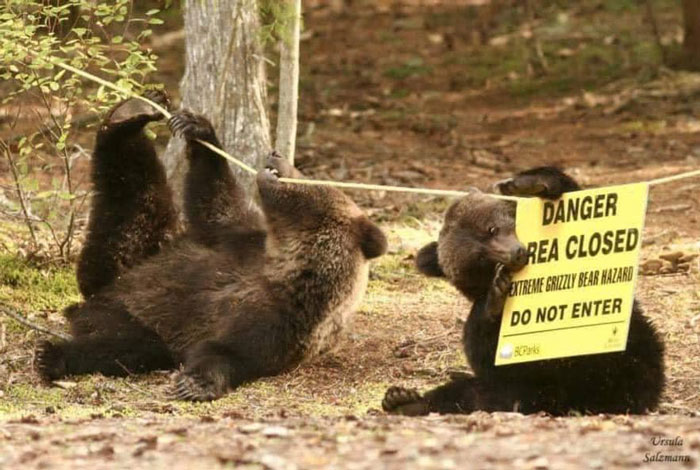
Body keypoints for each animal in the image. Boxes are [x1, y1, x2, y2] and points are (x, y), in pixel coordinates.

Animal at [35, 93, 388, 401]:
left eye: (307, 175)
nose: (276, 154)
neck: (284, 258)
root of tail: (94, 300)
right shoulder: (239, 239)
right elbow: (214, 201)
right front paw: (198, 127)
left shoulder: (281, 322)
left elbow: (230, 351)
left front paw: (194, 383)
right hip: (142, 254)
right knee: (131, 183)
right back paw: (130, 113)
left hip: (133, 306)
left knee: (127, 344)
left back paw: (53, 356)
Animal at [383, 167, 665, 415]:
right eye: (480, 261)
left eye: (492, 228)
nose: (516, 254)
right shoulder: (479, 330)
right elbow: (489, 355)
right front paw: (497, 297)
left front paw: (527, 185)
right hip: (526, 390)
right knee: (470, 394)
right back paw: (403, 400)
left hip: (630, 353)